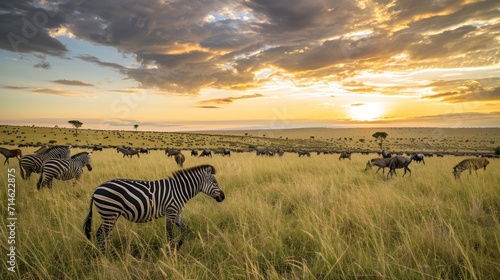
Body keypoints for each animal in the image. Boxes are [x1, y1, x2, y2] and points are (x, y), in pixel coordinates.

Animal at [83, 164, 226, 254]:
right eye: (215, 182)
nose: (223, 197)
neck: (180, 190)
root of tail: (97, 189)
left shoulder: (177, 213)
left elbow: (184, 229)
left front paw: (178, 247)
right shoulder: (171, 211)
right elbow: (169, 233)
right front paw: (170, 252)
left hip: (110, 214)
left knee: (101, 234)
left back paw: (106, 253)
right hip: (109, 212)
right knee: (103, 234)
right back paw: (109, 254)